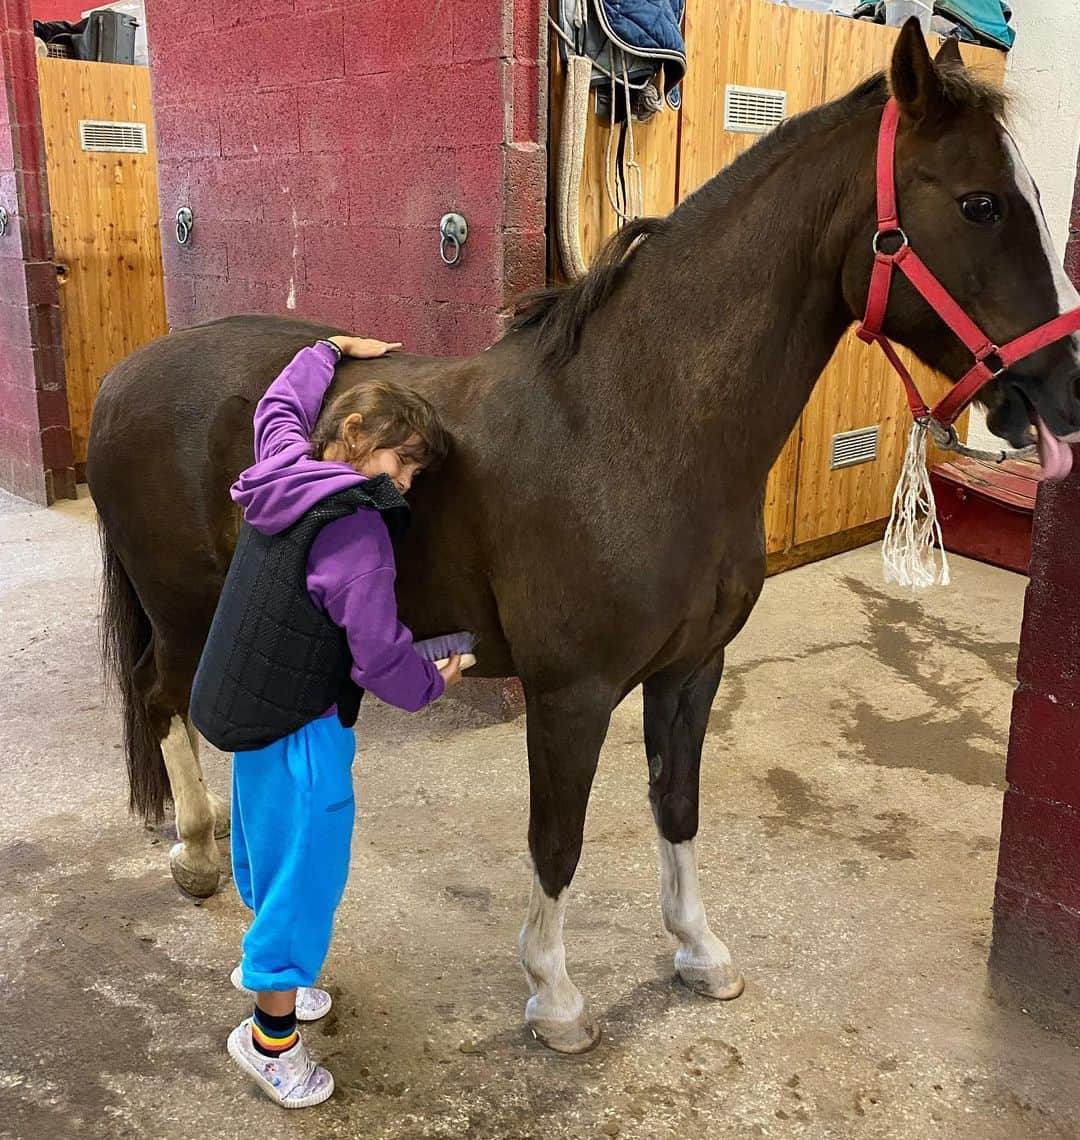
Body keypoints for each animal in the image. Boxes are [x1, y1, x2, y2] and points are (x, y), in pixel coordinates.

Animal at [86, 26, 1080, 1053]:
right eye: (979, 202)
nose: (1062, 388)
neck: (637, 423)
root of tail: (126, 376)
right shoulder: (572, 692)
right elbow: (556, 840)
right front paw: (554, 998)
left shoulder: (693, 671)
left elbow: (676, 810)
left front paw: (699, 951)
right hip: (187, 614)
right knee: (163, 700)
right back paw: (198, 858)